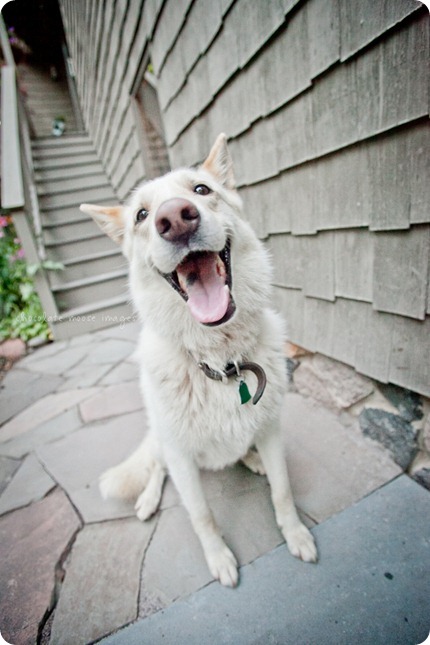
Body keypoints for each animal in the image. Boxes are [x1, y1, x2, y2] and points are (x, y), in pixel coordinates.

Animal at [80, 133, 316, 588]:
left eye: (201, 190)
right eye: (141, 215)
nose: (175, 218)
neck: (221, 362)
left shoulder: (272, 429)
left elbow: (282, 490)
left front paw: (295, 533)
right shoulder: (181, 458)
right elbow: (201, 515)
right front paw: (219, 558)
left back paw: (251, 459)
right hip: (160, 437)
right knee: (156, 468)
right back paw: (148, 500)